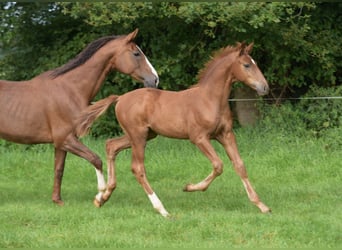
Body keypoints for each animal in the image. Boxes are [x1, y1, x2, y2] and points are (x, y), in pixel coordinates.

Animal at [0, 28, 159, 205]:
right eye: (136, 53)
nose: (155, 79)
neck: (70, 89)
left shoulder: (61, 143)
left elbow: (59, 169)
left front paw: (57, 201)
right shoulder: (65, 139)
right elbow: (96, 159)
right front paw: (101, 193)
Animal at [77, 42, 270, 216]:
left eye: (255, 63)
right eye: (246, 65)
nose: (265, 87)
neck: (209, 99)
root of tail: (120, 98)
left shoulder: (226, 135)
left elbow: (240, 165)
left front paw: (261, 205)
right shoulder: (199, 138)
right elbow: (218, 165)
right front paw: (189, 187)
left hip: (144, 135)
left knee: (111, 145)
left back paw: (102, 197)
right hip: (138, 136)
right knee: (137, 168)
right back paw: (161, 209)